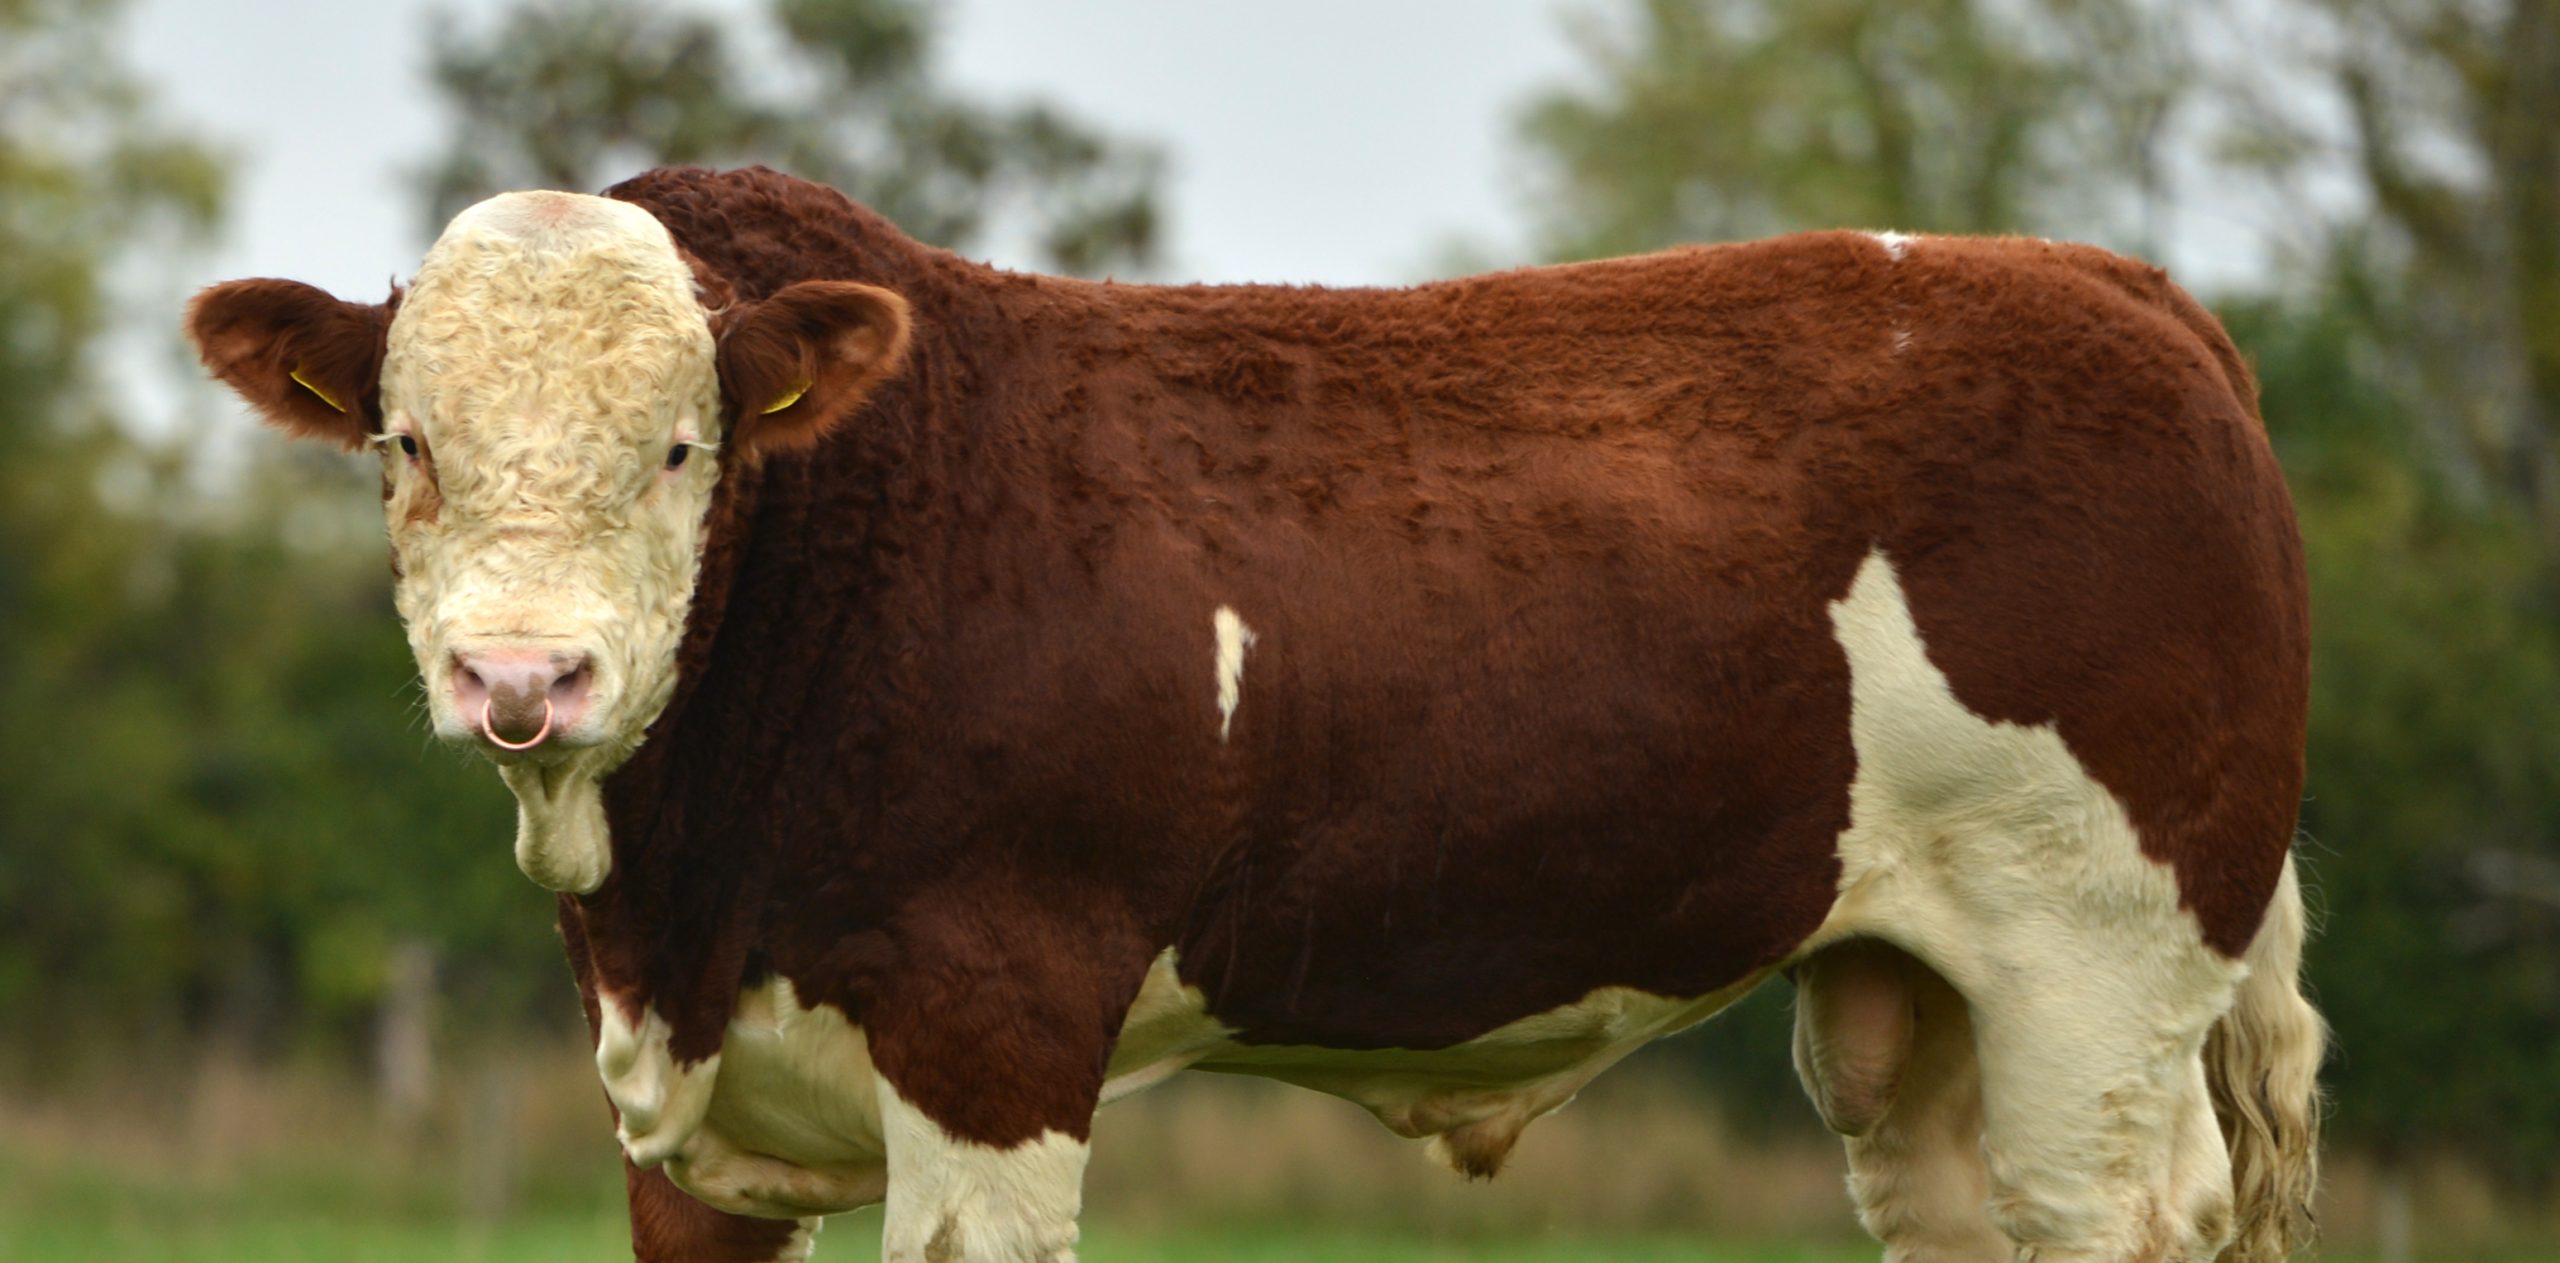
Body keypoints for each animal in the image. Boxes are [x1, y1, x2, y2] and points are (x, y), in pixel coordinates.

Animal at [187, 165, 2323, 1263]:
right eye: (406, 442)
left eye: (680, 447)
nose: (523, 679)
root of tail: (2108, 279)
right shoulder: (687, 1120)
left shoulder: (995, 1025)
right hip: (1914, 996)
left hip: (2100, 963)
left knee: (2125, 1208)